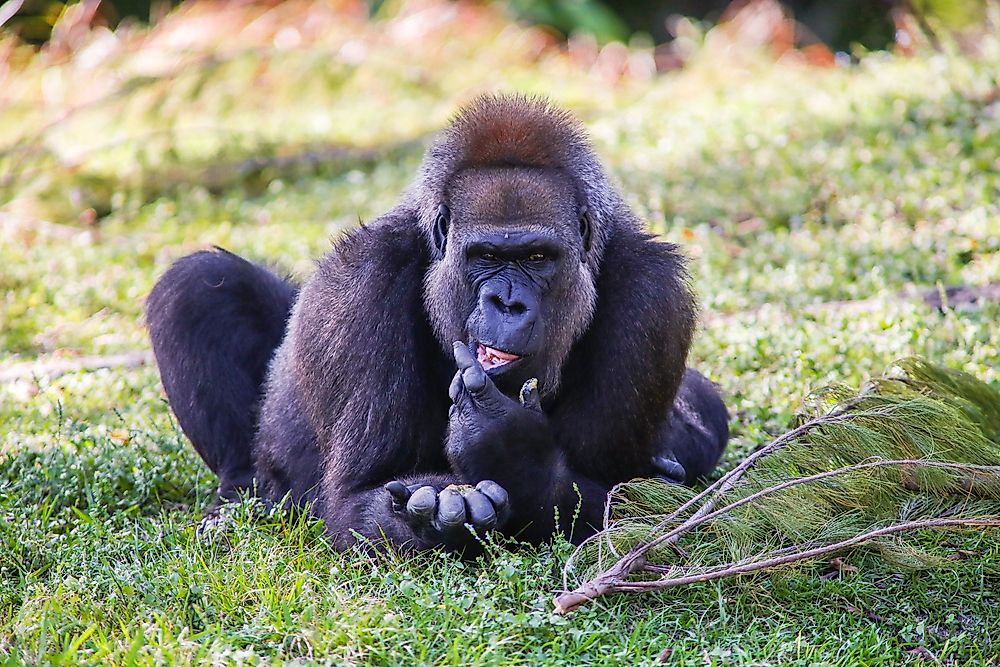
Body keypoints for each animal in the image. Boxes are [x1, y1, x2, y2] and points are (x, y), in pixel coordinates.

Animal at [146, 94, 728, 552]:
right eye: (486, 256)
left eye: (538, 258)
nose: (507, 303)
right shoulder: (364, 280)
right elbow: (355, 499)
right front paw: (439, 515)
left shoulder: (654, 298)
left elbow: (624, 496)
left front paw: (518, 458)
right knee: (200, 286)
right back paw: (239, 501)